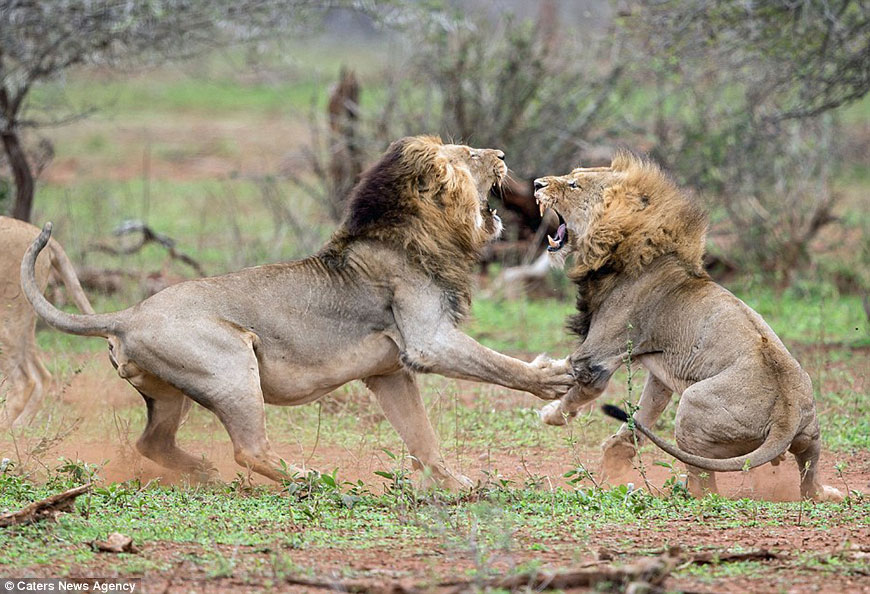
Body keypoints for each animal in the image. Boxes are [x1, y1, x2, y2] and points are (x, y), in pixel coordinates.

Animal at [20, 135, 576, 486]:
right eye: (471, 155)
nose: (503, 154)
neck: (424, 233)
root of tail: (127, 314)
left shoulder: (390, 372)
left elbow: (423, 437)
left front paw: (457, 484)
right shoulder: (427, 341)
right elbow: (498, 364)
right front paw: (552, 378)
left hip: (171, 392)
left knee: (150, 444)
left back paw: (201, 470)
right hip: (231, 365)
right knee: (248, 449)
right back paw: (308, 478)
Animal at [532, 153, 844, 500]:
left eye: (574, 184)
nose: (537, 184)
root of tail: (785, 417)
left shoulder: (597, 357)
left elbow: (575, 389)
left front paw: (549, 412)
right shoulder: (660, 371)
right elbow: (643, 414)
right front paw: (615, 457)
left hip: (692, 408)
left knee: (705, 484)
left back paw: (682, 491)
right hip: (810, 436)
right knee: (808, 476)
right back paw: (826, 492)